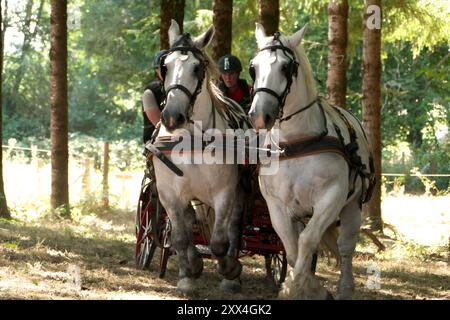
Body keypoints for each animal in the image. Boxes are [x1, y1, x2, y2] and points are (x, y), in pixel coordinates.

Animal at [154, 20, 246, 296]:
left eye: (196, 68)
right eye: (165, 66)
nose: (172, 116)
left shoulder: (224, 192)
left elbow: (218, 242)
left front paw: (230, 270)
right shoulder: (169, 194)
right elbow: (180, 237)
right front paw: (187, 276)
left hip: (238, 193)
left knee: (233, 228)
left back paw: (231, 276)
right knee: (191, 222)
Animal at [248, 23, 374, 300]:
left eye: (286, 67)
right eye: (254, 67)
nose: (260, 116)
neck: (296, 143)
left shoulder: (331, 198)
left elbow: (307, 241)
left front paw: (300, 287)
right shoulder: (277, 206)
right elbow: (292, 247)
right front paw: (303, 285)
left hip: (352, 206)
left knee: (345, 247)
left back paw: (345, 288)